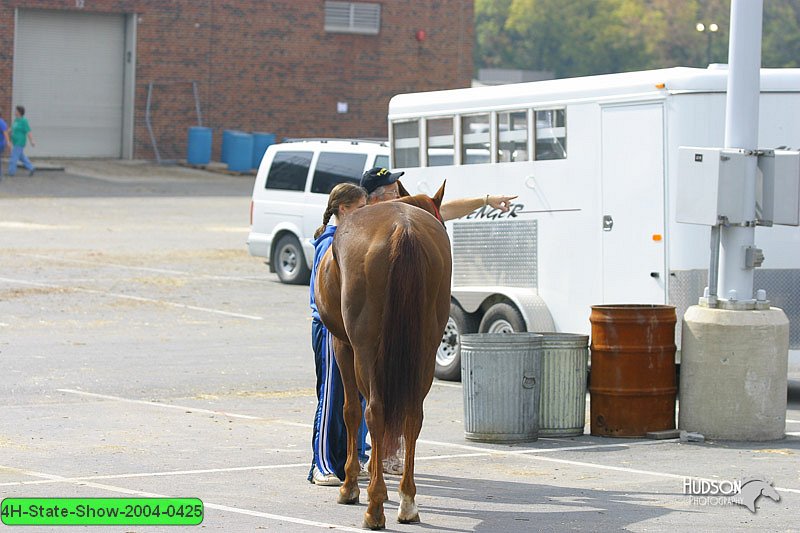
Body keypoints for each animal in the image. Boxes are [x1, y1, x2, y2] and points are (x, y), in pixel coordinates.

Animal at [316, 183, 454, 528]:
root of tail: (403, 229)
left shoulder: (343, 345)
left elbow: (351, 411)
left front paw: (351, 486)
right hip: (425, 351)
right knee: (413, 415)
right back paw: (407, 501)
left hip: (364, 349)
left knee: (374, 411)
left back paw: (374, 507)